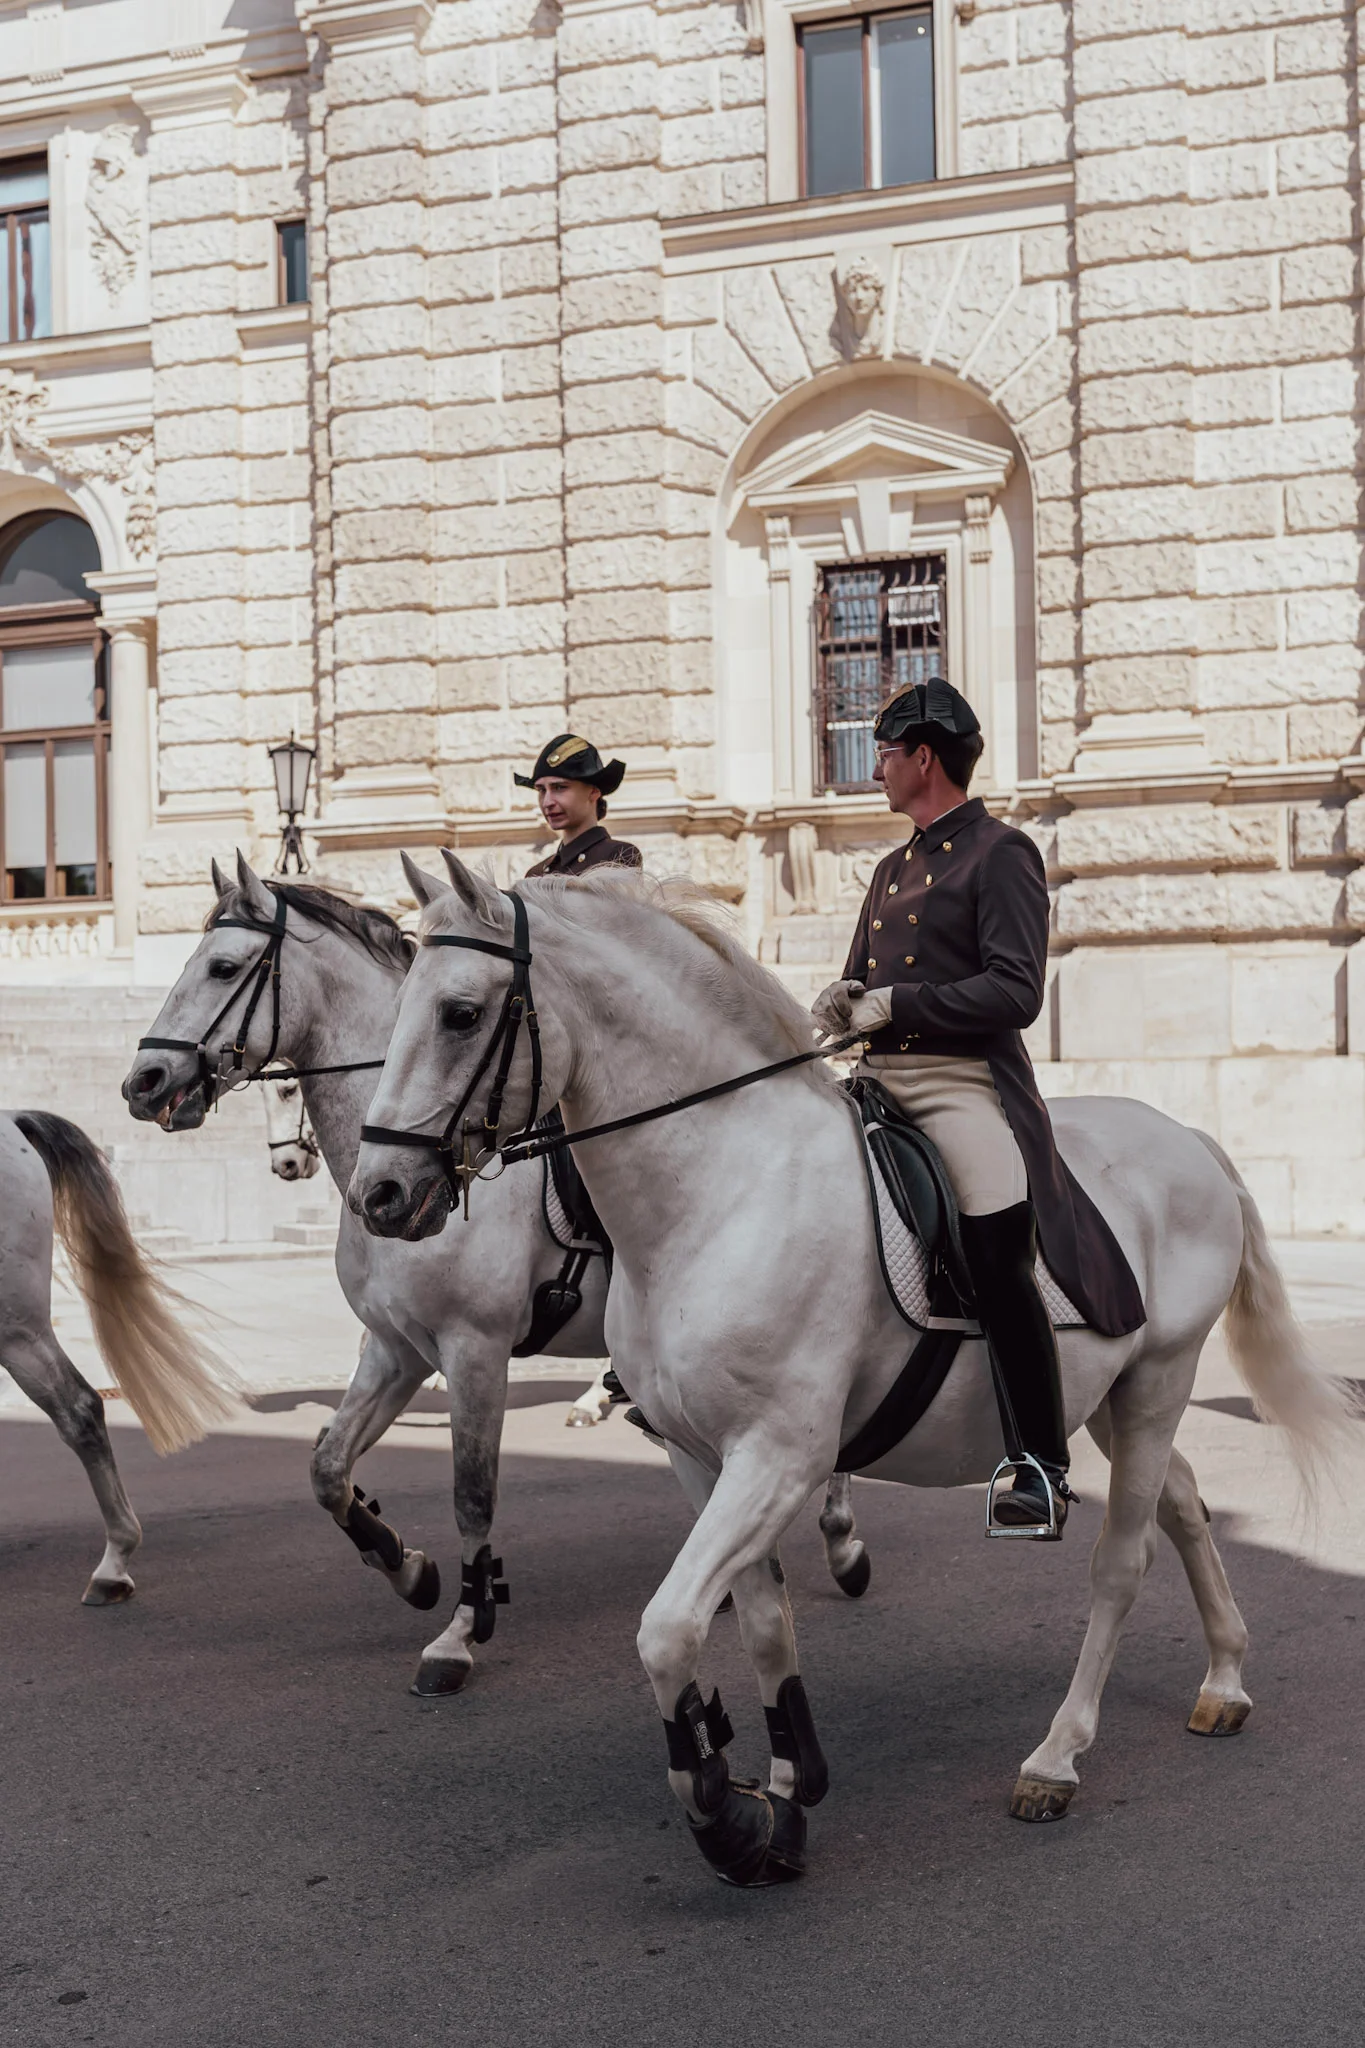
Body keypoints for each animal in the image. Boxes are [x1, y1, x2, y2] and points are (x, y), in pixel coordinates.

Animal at [120, 856, 870, 1694]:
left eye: (220, 967)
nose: (142, 1081)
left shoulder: (472, 1351)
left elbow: (471, 1495)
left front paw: (461, 1630)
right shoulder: (394, 1350)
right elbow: (327, 1467)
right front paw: (406, 1566)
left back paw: (840, 1538)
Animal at [351, 855, 1354, 1885]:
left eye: (460, 1013)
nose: (377, 1194)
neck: (720, 1188)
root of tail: (1188, 1139)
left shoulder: (777, 1456)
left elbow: (667, 1628)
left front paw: (724, 1814)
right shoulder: (699, 1456)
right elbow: (758, 1621)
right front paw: (788, 1785)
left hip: (1157, 1379)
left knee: (1122, 1559)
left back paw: (1057, 1754)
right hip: (1105, 1397)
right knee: (1184, 1504)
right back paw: (1224, 1677)